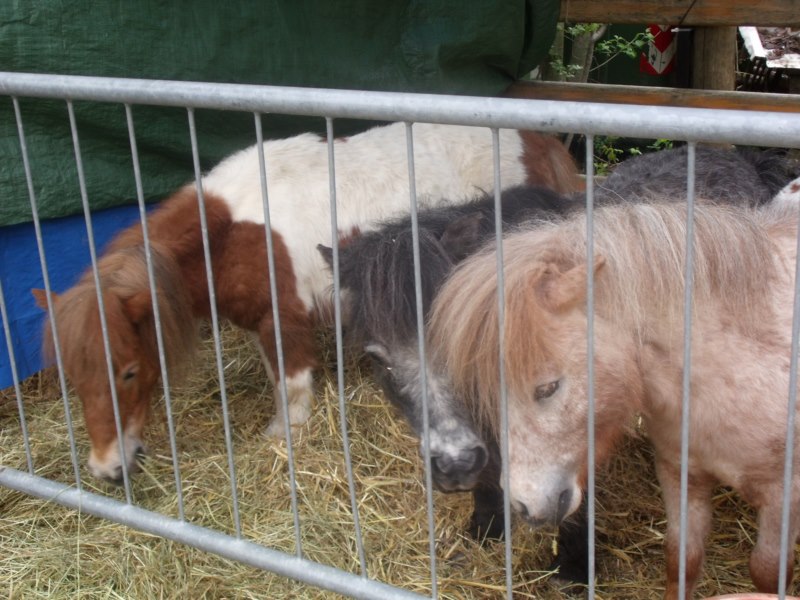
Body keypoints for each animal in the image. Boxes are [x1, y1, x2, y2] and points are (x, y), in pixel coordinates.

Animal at [34, 122, 580, 482]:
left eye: (128, 371)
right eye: (71, 375)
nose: (107, 469)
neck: (235, 234)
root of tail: (538, 141)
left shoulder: (285, 321)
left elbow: (292, 392)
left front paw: (282, 441)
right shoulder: (262, 324)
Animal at [428, 199, 800, 596]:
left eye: (547, 387)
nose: (525, 505)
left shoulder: (783, 497)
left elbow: (766, 573)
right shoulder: (680, 474)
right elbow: (681, 559)